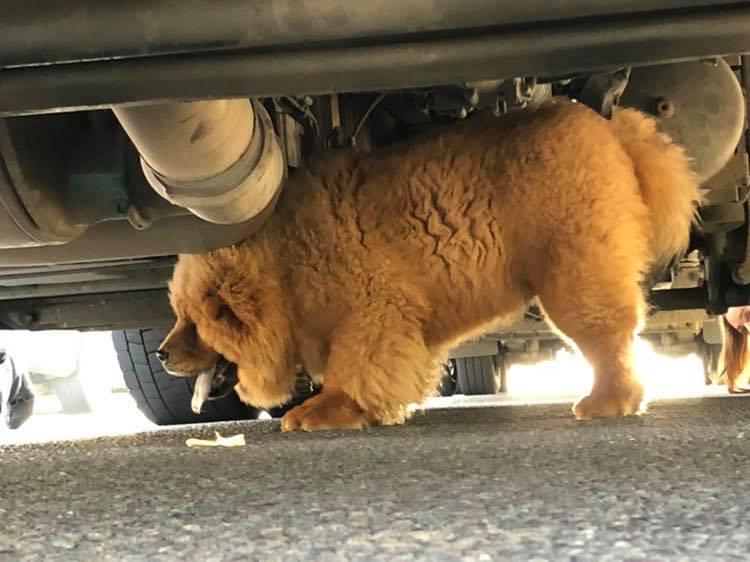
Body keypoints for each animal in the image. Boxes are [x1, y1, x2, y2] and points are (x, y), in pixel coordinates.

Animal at [162, 100, 704, 430]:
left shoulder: (369, 315)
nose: (161, 354)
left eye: (194, 322)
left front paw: (325, 410)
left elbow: (352, 369)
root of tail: (613, 126)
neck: (285, 271)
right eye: (177, 317)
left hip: (574, 270)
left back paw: (609, 399)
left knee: (607, 338)